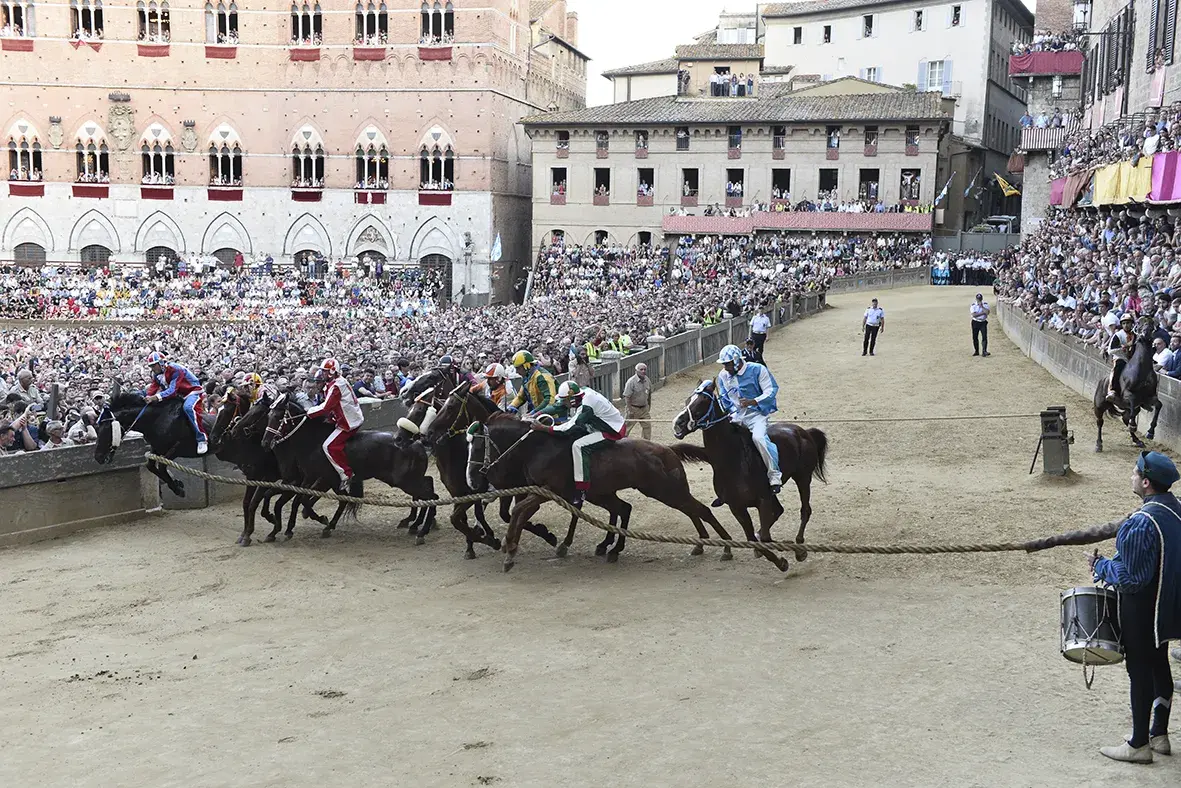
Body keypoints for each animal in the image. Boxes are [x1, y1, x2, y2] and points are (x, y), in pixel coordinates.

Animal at [263, 394, 439, 543]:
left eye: (277, 417)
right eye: (268, 416)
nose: (265, 441)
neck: (315, 441)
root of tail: (417, 443)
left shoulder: (324, 479)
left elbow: (307, 501)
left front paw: (322, 521)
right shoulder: (312, 479)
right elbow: (303, 500)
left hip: (406, 481)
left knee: (432, 496)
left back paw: (421, 531)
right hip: (411, 480)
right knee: (428, 488)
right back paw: (418, 525)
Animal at [675, 378, 831, 552]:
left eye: (703, 400)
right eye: (688, 400)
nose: (678, 423)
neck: (733, 459)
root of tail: (804, 432)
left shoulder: (763, 501)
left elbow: (765, 535)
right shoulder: (737, 506)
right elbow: (755, 536)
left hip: (802, 478)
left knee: (805, 510)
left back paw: (799, 542)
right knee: (779, 511)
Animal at [1091, 321, 1166, 453]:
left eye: (1152, 325)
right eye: (1141, 325)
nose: (1146, 332)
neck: (1142, 370)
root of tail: (1102, 381)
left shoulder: (1149, 398)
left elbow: (1159, 405)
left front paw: (1150, 432)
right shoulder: (1128, 394)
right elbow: (1132, 399)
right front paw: (1135, 426)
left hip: (1133, 409)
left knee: (1126, 418)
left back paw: (1138, 440)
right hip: (1099, 406)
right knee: (1100, 422)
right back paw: (1099, 445)